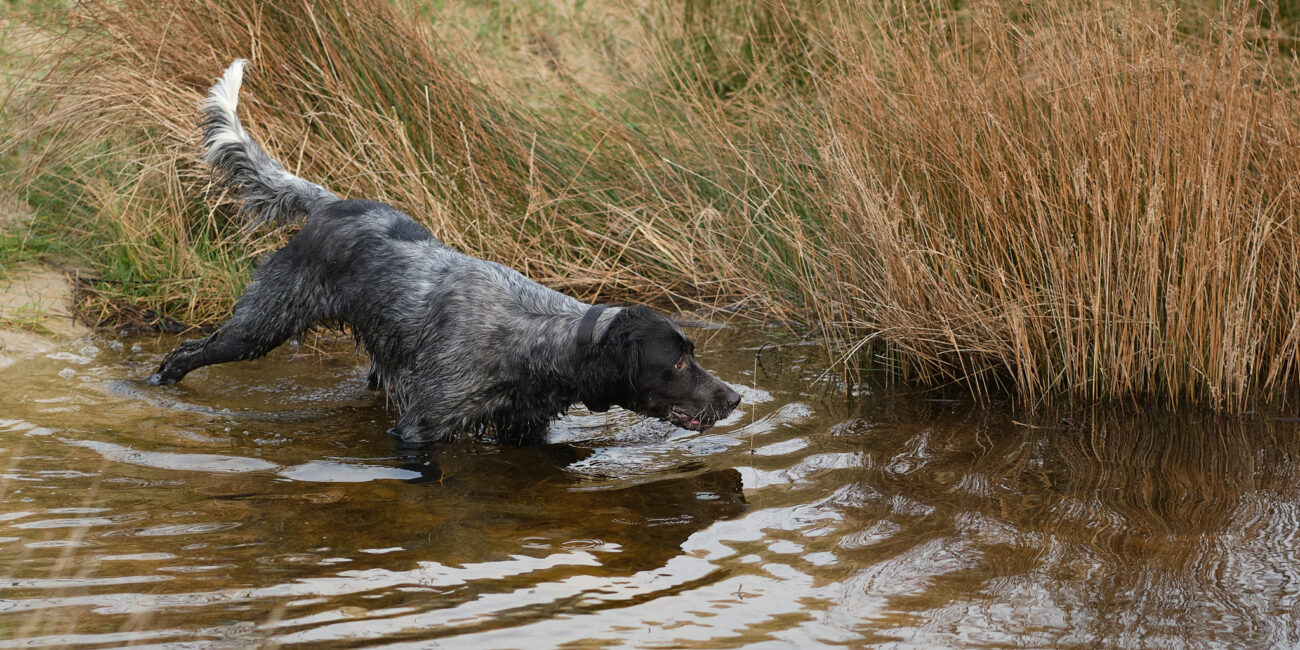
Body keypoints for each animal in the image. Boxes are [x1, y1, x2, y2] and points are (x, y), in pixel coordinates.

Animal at [149, 61, 743, 444]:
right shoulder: (422, 428)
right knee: (187, 354)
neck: (537, 336)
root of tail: (330, 205)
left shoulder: (523, 429)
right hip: (258, 327)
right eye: (678, 361)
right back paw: (158, 385)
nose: (736, 398)